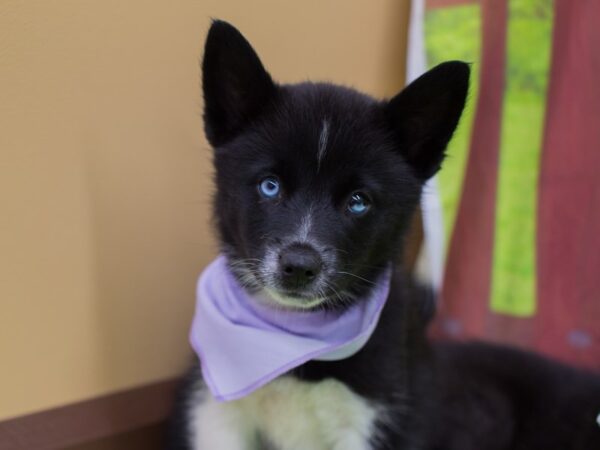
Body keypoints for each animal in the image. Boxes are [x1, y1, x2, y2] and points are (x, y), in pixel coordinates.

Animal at [166, 20, 600, 450]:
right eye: (269, 186)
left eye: (358, 202)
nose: (299, 266)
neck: (292, 340)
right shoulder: (217, 412)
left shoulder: (378, 420)